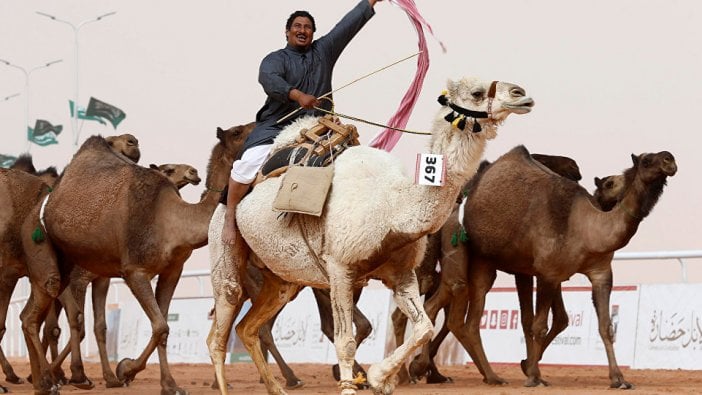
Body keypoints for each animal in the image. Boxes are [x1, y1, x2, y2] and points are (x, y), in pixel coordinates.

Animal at [18, 124, 256, 395]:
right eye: (237, 132)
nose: (193, 172)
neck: (173, 220)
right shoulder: (135, 271)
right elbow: (160, 325)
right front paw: (125, 370)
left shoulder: (172, 271)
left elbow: (163, 327)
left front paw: (168, 384)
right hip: (41, 247)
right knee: (39, 313)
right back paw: (52, 380)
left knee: (29, 317)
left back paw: (42, 381)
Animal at [206, 76, 536, 395]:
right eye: (477, 93)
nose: (522, 94)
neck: (392, 206)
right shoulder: (339, 268)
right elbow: (345, 341)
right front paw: (361, 383)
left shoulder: (401, 273)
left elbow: (424, 328)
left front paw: (380, 378)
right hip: (225, 257)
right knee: (218, 335)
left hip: (282, 279)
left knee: (247, 328)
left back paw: (279, 387)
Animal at [456, 146, 676, 390]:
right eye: (647, 160)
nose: (669, 159)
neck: (587, 229)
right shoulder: (548, 274)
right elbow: (540, 326)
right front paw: (532, 376)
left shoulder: (601, 273)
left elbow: (606, 326)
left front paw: (619, 379)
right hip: (482, 258)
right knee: (473, 321)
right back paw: (494, 376)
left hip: (520, 267)